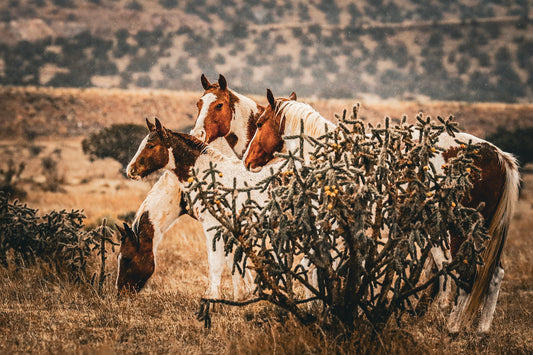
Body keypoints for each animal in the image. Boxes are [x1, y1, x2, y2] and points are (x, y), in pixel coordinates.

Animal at [125, 119, 274, 300]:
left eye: (150, 145)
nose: (130, 170)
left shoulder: (213, 227)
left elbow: (217, 263)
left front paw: (213, 297)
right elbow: (233, 261)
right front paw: (241, 295)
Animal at [242, 89, 520, 334]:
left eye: (260, 123)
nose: (247, 160)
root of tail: (497, 154)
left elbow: (315, 267)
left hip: (459, 231)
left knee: (466, 276)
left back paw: (453, 328)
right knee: (494, 274)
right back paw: (482, 330)